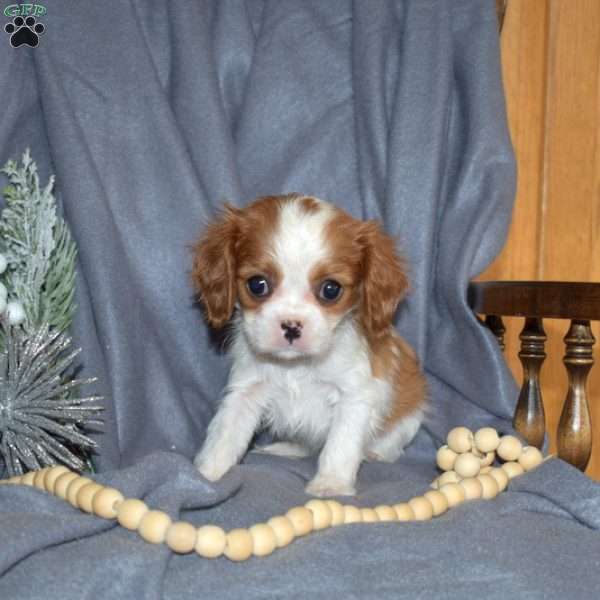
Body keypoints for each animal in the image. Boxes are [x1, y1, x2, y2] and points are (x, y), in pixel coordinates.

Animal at [191, 193, 422, 496]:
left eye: (330, 289)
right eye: (257, 284)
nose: (291, 325)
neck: (296, 366)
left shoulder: (354, 397)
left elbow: (341, 445)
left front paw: (331, 484)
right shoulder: (246, 390)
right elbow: (225, 434)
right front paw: (206, 474)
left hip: (409, 418)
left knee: (390, 446)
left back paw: (375, 453)